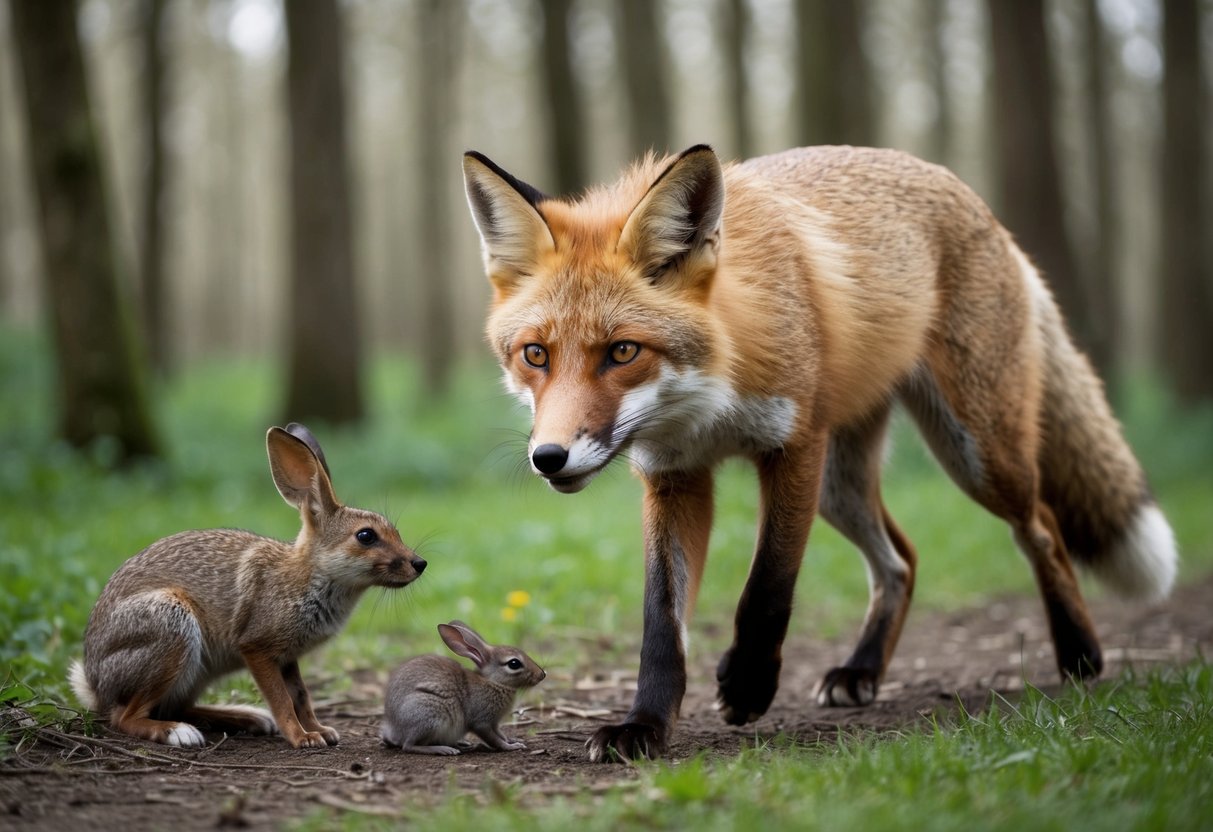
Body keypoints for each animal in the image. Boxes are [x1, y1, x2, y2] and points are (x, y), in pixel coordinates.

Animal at [68, 423, 427, 749]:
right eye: (365, 536)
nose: (418, 564)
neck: (313, 573)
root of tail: (96, 683)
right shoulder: (257, 648)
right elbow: (282, 699)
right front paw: (303, 738)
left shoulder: (287, 657)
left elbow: (301, 695)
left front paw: (321, 731)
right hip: (169, 628)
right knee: (126, 717)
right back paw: (179, 733)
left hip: (193, 669)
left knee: (175, 706)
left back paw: (247, 718)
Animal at [381, 621, 546, 755]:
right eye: (514, 663)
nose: (542, 674)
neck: (493, 682)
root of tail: (395, 731)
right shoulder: (481, 722)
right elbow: (494, 739)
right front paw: (512, 747)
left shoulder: (494, 723)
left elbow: (500, 734)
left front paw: (512, 740)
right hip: (428, 714)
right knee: (409, 746)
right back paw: (444, 749)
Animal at [461, 144, 1178, 763]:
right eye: (535, 355)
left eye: (622, 351)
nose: (549, 458)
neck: (710, 400)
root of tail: (970, 197)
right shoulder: (674, 477)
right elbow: (661, 625)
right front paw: (643, 726)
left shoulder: (792, 449)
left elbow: (767, 587)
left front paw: (749, 687)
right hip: (843, 486)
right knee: (901, 561)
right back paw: (860, 672)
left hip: (973, 453)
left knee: (1043, 529)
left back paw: (1079, 655)